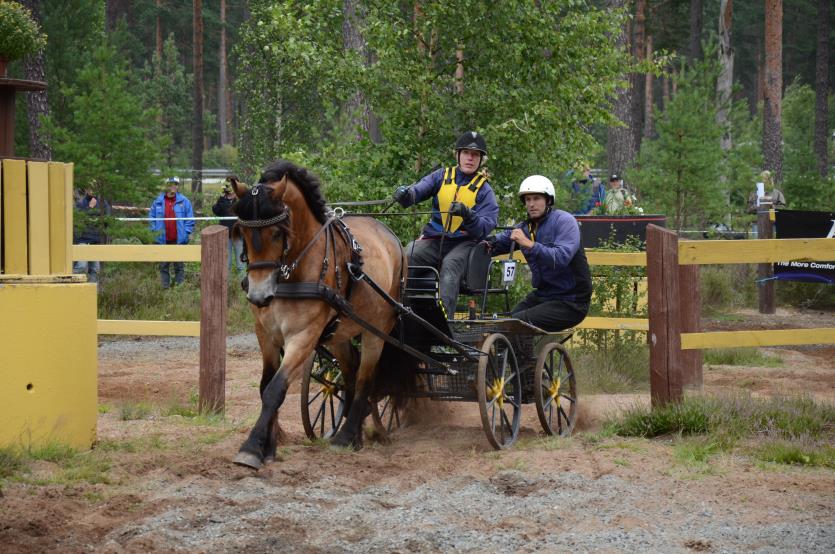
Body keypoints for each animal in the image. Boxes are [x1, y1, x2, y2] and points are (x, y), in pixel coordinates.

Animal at [230, 158, 410, 466]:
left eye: (277, 232)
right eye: (243, 232)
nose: (259, 295)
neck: (292, 273)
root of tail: (392, 238)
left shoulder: (303, 336)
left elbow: (276, 389)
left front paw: (251, 449)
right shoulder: (266, 334)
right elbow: (265, 387)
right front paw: (269, 448)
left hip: (377, 330)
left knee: (365, 378)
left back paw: (347, 436)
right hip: (340, 334)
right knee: (350, 374)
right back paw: (356, 432)